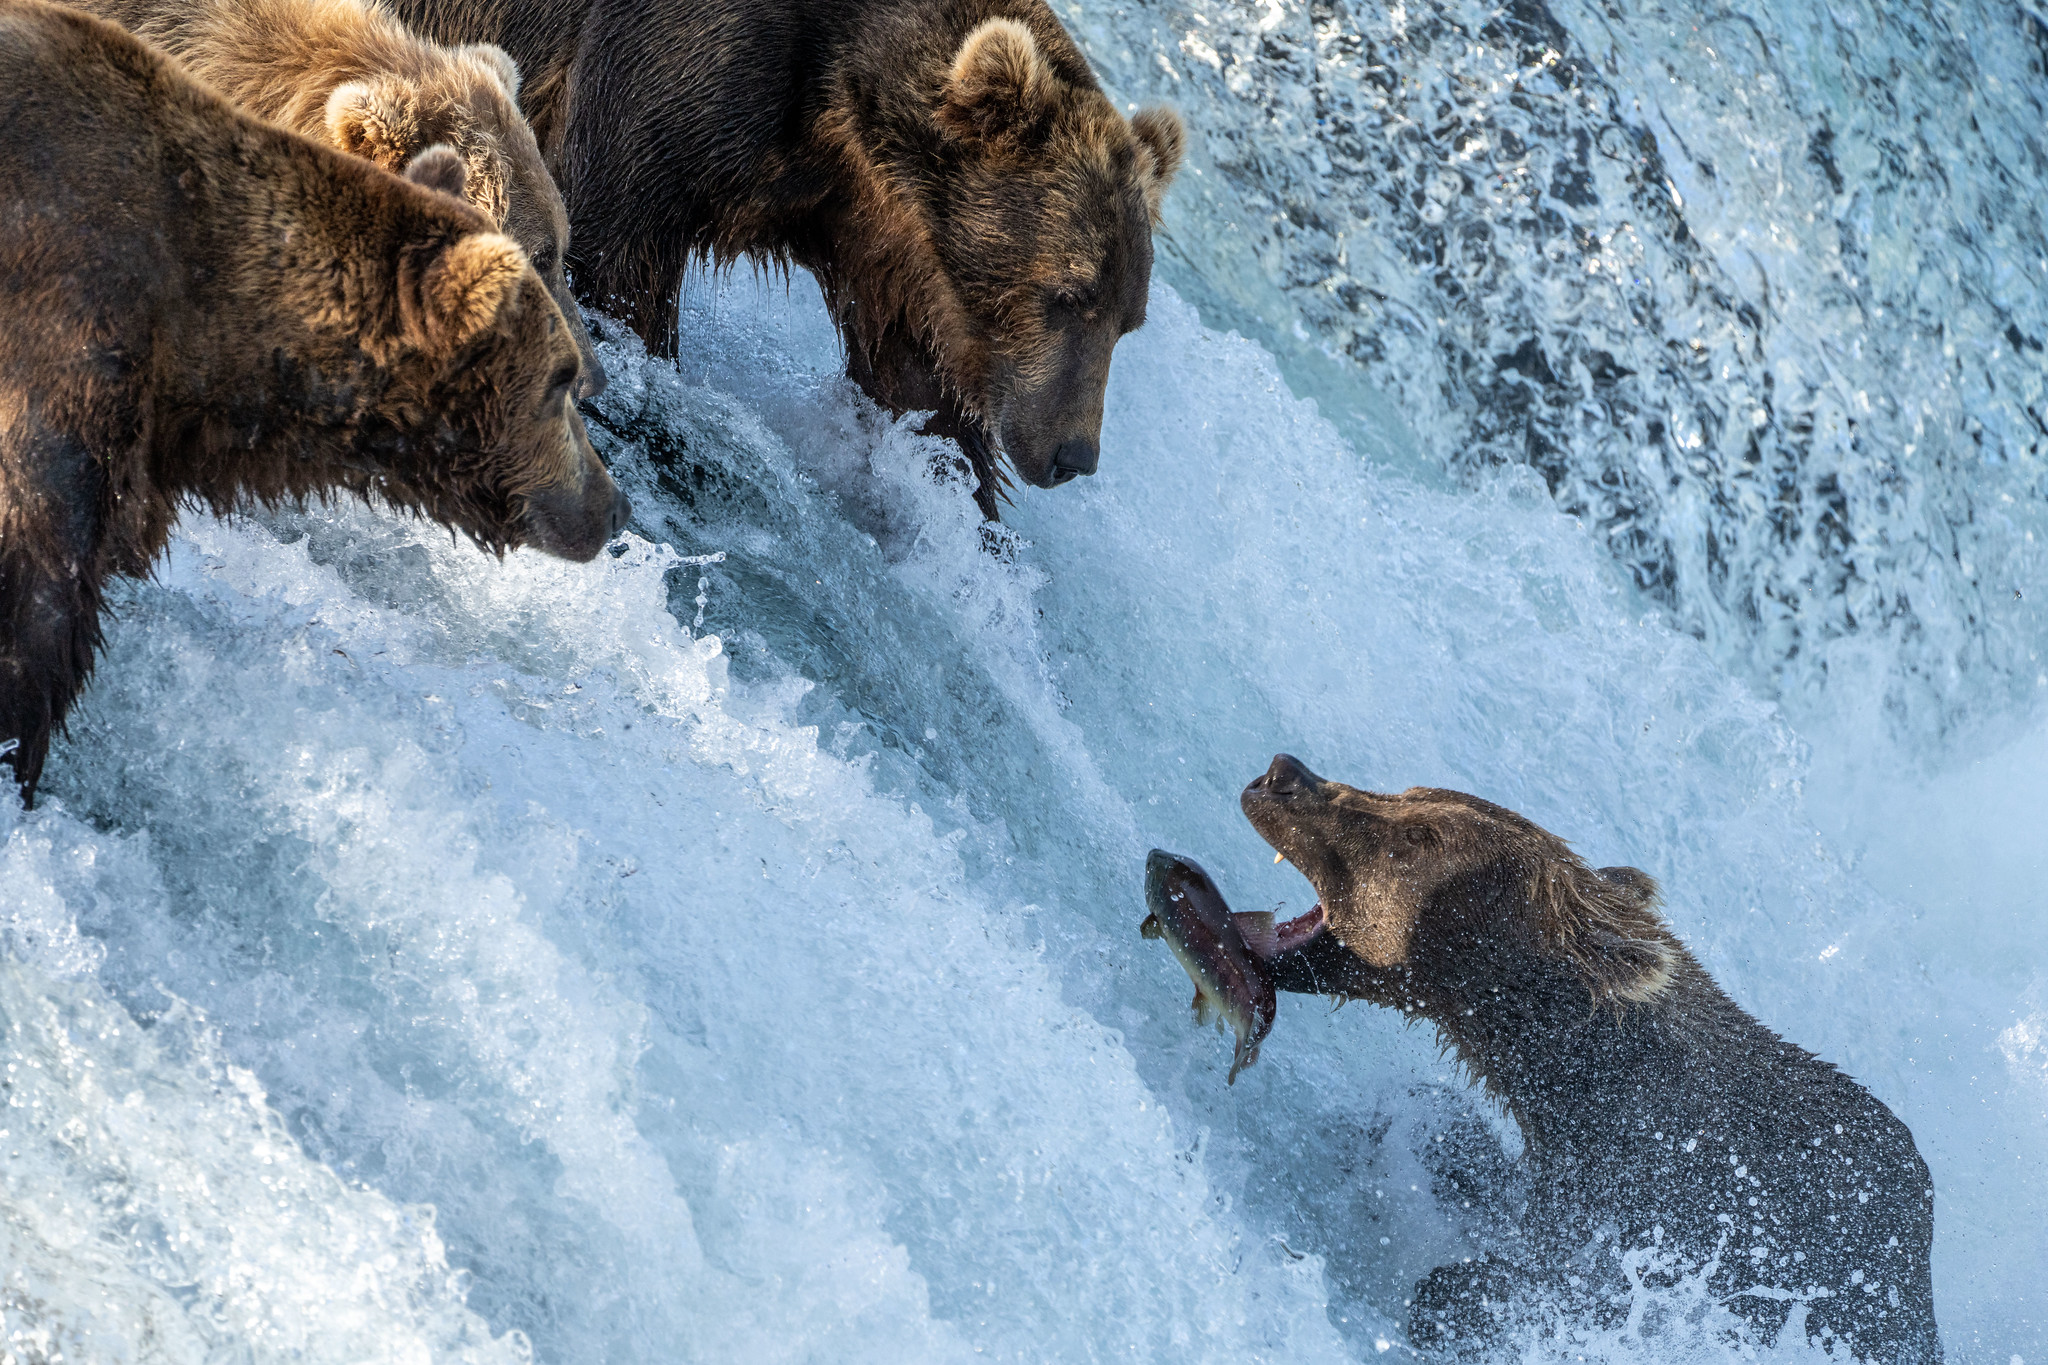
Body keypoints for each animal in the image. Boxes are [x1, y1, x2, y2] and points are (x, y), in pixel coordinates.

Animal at [386, 0, 1185, 518]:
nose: (1073, 454)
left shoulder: (879, 238)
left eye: (1129, 321)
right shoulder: (682, 69)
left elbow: (918, 389)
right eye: (1069, 294)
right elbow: (614, 245)